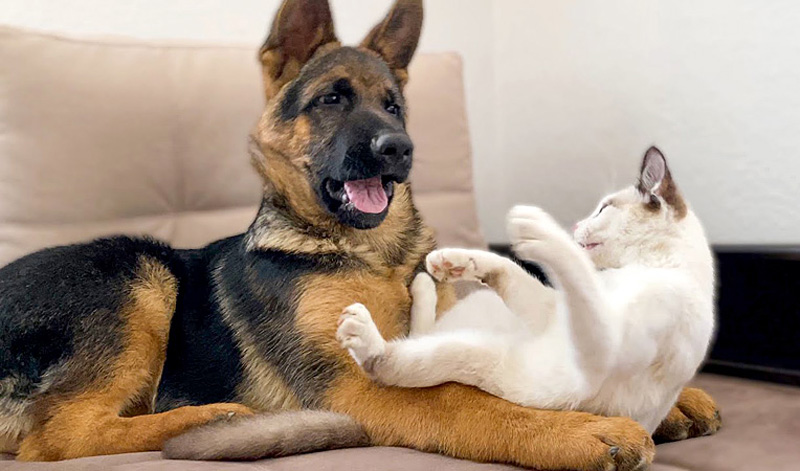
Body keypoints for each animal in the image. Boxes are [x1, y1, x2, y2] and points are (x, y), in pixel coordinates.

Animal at [334, 148, 716, 436]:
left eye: (603, 208)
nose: (576, 225)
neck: (651, 265)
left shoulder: (604, 347)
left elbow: (572, 267)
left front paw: (535, 225)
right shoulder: (551, 313)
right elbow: (510, 270)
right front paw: (456, 261)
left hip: (467, 354)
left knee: (385, 363)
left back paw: (361, 330)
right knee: (418, 330)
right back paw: (427, 279)